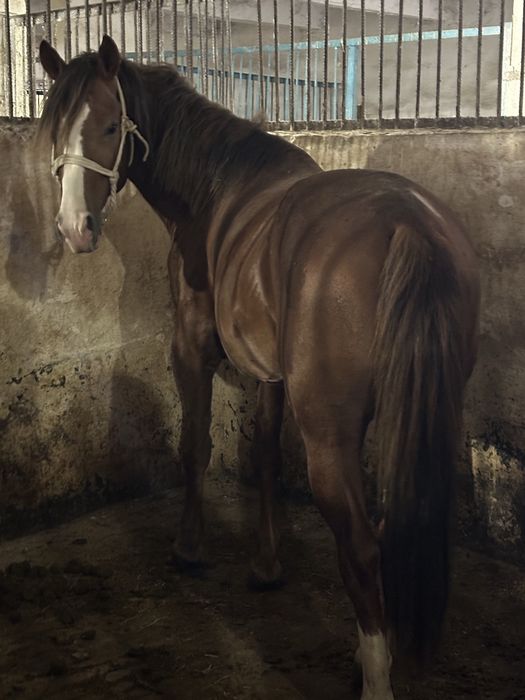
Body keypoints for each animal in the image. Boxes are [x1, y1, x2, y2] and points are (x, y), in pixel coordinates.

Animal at [37, 35, 480, 699]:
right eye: (53, 127)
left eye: (111, 125)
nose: (74, 229)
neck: (215, 192)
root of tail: (410, 225)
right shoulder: (270, 374)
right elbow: (266, 450)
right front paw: (268, 564)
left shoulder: (190, 347)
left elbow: (194, 444)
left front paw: (190, 548)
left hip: (329, 434)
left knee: (360, 544)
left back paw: (374, 674)